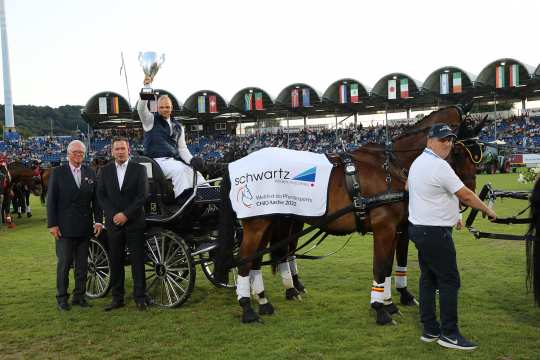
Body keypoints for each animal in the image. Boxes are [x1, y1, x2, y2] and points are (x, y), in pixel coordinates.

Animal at [215, 104, 486, 324]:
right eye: (458, 151)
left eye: (479, 154)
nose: (468, 193)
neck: (392, 167)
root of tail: (236, 162)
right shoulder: (386, 227)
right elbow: (381, 267)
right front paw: (381, 309)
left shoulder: (399, 228)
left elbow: (392, 265)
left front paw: (392, 301)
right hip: (259, 224)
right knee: (245, 260)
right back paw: (249, 308)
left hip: (274, 221)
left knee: (262, 259)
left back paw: (265, 300)